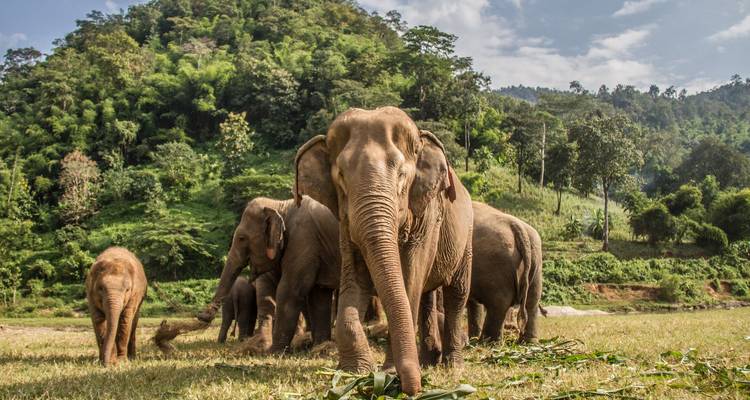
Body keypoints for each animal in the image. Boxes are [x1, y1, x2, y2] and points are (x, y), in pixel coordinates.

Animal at [197, 196, 341, 354]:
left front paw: (273, 352)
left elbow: (289, 291)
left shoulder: (303, 241)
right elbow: (318, 295)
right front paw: (319, 347)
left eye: (241, 238)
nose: (202, 316)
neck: (281, 205)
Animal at [295, 106, 473, 395]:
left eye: (401, 174)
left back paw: (452, 366)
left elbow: (410, 277)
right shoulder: (345, 223)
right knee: (427, 295)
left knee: (456, 293)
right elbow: (355, 277)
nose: (413, 388)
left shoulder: (427, 215)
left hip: (466, 236)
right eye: (341, 176)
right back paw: (428, 361)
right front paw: (355, 372)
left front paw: (388, 372)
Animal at [467, 201, 543, 343]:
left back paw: (488, 342)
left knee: (499, 302)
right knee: (532, 301)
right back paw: (528, 342)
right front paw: (472, 338)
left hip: (495, 263)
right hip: (536, 260)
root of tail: (517, 227)